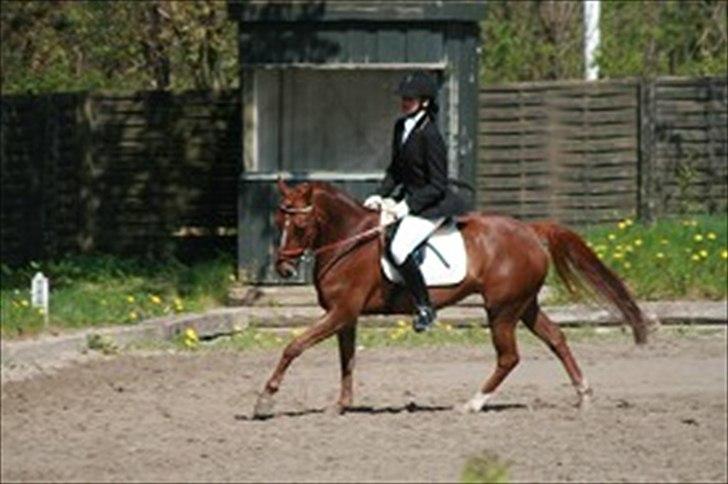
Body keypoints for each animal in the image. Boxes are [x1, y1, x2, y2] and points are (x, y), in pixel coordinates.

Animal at [252, 179, 650, 418]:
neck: (349, 240)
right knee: (556, 339)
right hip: (524, 306)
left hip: (501, 310)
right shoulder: (345, 315)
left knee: (509, 357)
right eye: (278, 223)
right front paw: (342, 405)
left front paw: (265, 398)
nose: (283, 270)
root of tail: (530, 230)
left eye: (300, 226)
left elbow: (294, 346)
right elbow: (346, 360)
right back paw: (583, 394)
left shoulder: (340, 311)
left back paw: (473, 403)